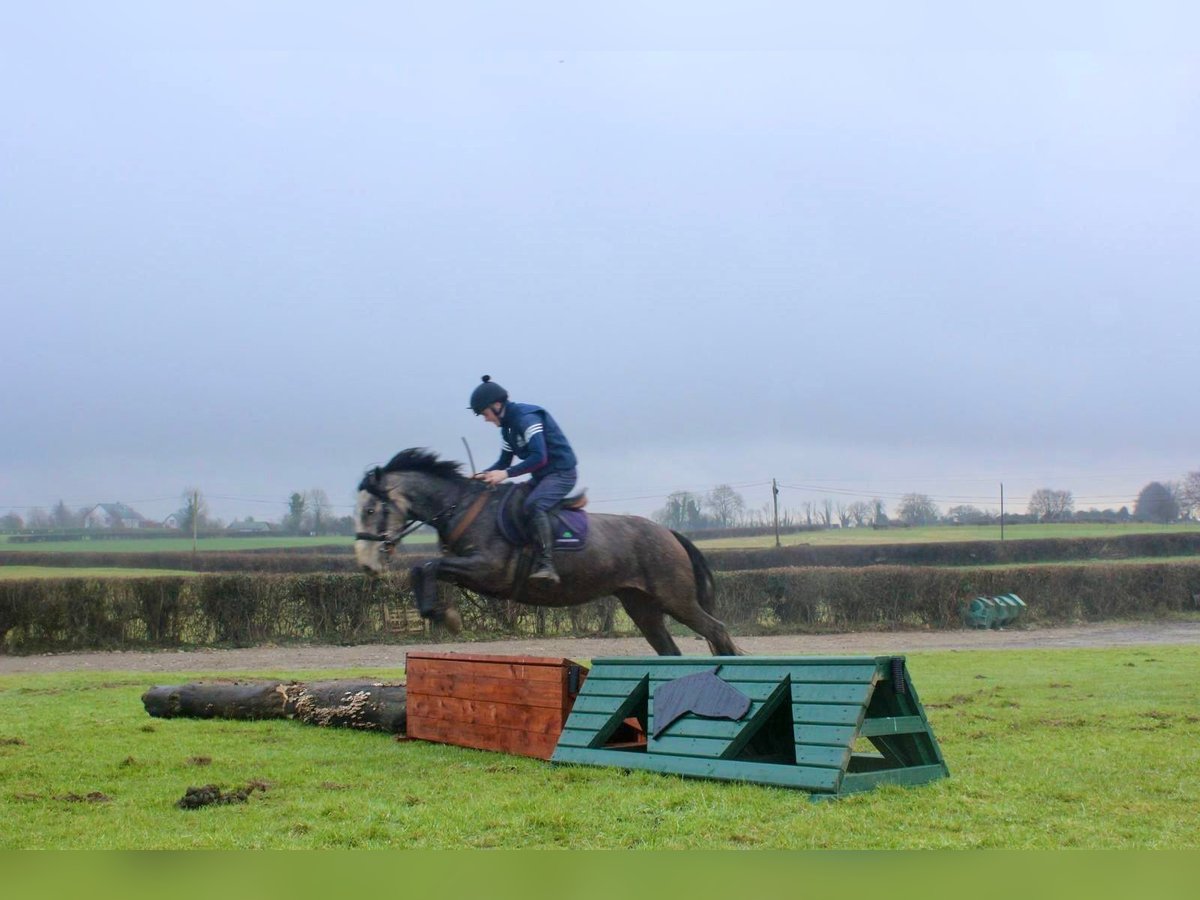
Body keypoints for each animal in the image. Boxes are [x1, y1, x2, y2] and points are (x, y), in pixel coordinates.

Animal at [350, 448, 739, 657]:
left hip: (675, 598)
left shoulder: (489, 570)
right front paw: (441, 614)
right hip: (640, 605)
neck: (462, 506)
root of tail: (668, 532)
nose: (366, 564)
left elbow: (428, 565)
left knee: (716, 630)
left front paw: (448, 617)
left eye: (370, 509)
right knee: (669, 650)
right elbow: (423, 568)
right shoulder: (468, 570)